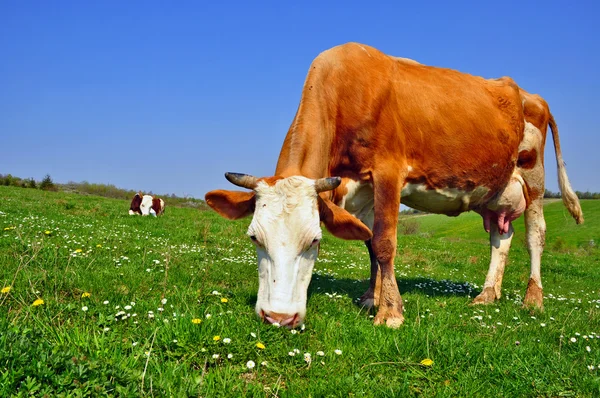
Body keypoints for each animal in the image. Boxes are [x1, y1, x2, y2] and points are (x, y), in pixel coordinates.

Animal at [204, 42, 584, 330]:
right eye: (254, 237)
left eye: (314, 240)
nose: (278, 317)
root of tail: (528, 94)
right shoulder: (359, 189)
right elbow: (370, 242)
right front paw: (371, 298)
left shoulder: (389, 171)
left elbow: (385, 243)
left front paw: (390, 311)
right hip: (495, 191)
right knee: (500, 237)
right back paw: (488, 294)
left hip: (534, 176)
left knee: (535, 234)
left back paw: (533, 299)